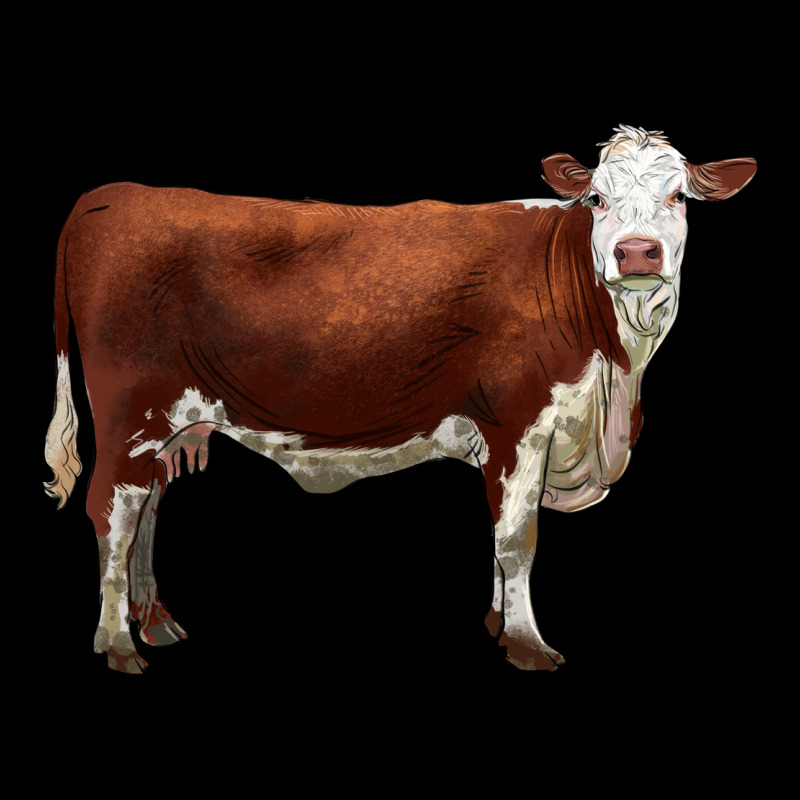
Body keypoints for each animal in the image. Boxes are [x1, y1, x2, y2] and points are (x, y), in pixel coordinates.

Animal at [44, 125, 756, 673]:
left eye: (678, 197)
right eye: (599, 198)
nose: (638, 253)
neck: (612, 384)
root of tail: (113, 195)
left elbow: (500, 533)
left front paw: (497, 623)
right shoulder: (520, 422)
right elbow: (517, 538)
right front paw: (526, 644)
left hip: (168, 423)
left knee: (146, 509)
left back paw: (155, 622)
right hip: (131, 411)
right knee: (112, 512)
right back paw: (118, 644)